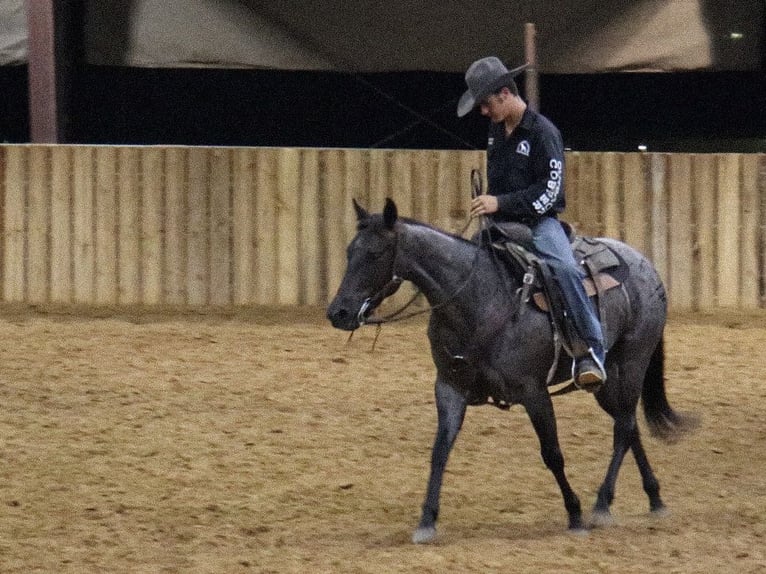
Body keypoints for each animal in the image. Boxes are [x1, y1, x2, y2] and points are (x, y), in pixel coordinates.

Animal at [328, 198, 700, 544]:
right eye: (349, 251)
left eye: (375, 253)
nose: (338, 312)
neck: (478, 300)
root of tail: (645, 265)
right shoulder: (449, 388)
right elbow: (439, 452)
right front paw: (426, 522)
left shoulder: (533, 392)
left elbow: (552, 454)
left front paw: (575, 514)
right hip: (606, 380)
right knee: (630, 424)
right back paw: (654, 497)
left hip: (634, 360)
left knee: (623, 428)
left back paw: (601, 506)